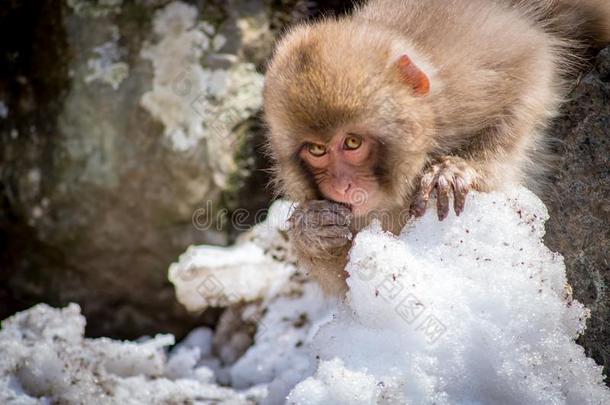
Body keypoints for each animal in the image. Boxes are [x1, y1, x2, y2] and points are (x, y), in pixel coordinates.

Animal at [264, 0, 608, 294]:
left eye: (351, 142)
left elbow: (533, 63)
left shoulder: (467, 82)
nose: (341, 186)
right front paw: (311, 230)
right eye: (316, 150)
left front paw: (460, 170)